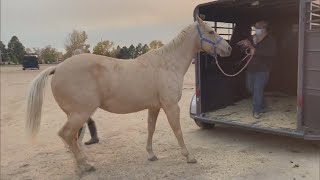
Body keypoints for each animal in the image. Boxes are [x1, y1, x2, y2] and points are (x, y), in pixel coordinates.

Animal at [24, 16, 230, 174]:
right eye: (211, 32)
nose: (228, 48)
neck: (167, 64)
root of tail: (58, 67)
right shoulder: (171, 106)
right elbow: (177, 130)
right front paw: (189, 156)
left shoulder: (154, 107)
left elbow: (150, 129)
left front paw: (151, 154)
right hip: (79, 114)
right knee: (66, 135)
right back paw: (86, 165)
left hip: (75, 115)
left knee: (73, 138)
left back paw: (80, 165)